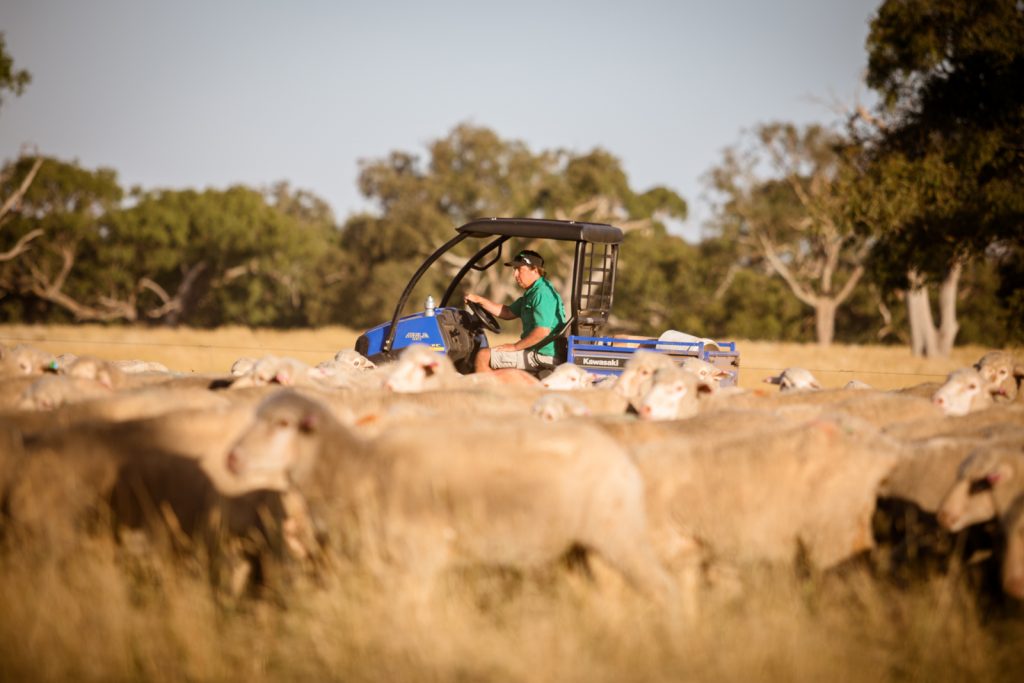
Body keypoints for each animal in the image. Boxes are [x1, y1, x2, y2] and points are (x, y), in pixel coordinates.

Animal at [224, 391, 678, 602]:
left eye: (283, 424)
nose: (231, 457)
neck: (359, 467)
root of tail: (621, 459)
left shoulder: (417, 561)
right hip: (578, 551)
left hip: (618, 536)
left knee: (663, 588)